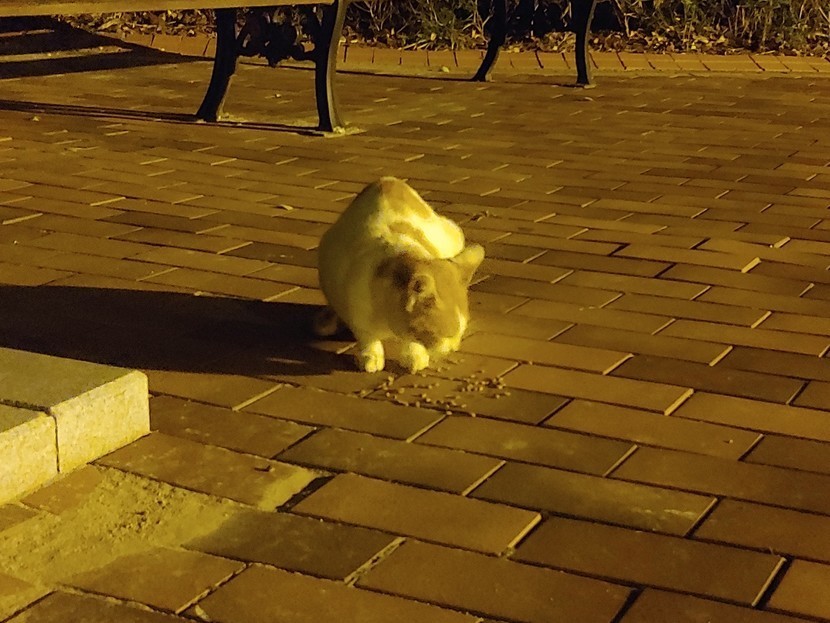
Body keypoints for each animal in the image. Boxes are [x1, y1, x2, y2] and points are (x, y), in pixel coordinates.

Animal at [315, 176, 484, 373]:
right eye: (445, 334)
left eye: (460, 333)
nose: (453, 347)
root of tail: (387, 179)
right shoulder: (356, 310)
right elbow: (368, 337)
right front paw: (371, 357)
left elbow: (410, 340)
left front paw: (414, 355)